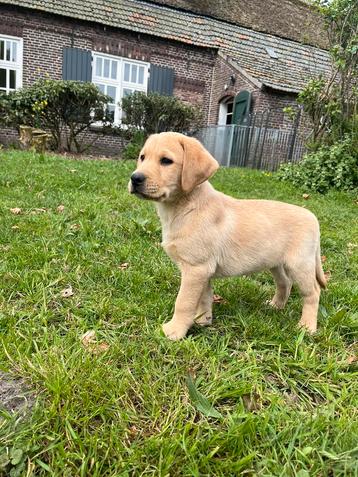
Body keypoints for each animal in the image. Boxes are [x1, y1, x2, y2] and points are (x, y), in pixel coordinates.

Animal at [129, 130, 328, 338]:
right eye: (142, 157)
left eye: (166, 161)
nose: (135, 178)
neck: (185, 207)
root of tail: (313, 217)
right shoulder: (203, 270)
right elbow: (204, 298)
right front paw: (203, 320)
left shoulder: (195, 268)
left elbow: (183, 302)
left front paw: (174, 331)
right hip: (276, 263)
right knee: (285, 283)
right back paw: (275, 306)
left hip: (300, 264)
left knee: (313, 293)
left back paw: (307, 327)